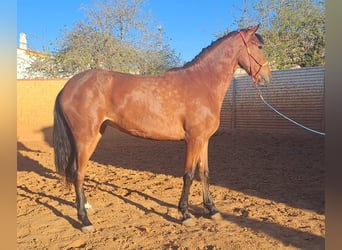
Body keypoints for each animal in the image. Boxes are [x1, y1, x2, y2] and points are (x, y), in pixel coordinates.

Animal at [53, 24, 272, 231]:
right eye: (260, 47)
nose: (267, 78)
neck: (201, 83)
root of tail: (68, 86)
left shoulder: (204, 140)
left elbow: (204, 173)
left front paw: (212, 209)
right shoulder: (193, 140)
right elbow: (188, 175)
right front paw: (185, 214)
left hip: (94, 135)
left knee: (77, 173)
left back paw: (85, 208)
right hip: (85, 139)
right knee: (78, 173)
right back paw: (84, 220)